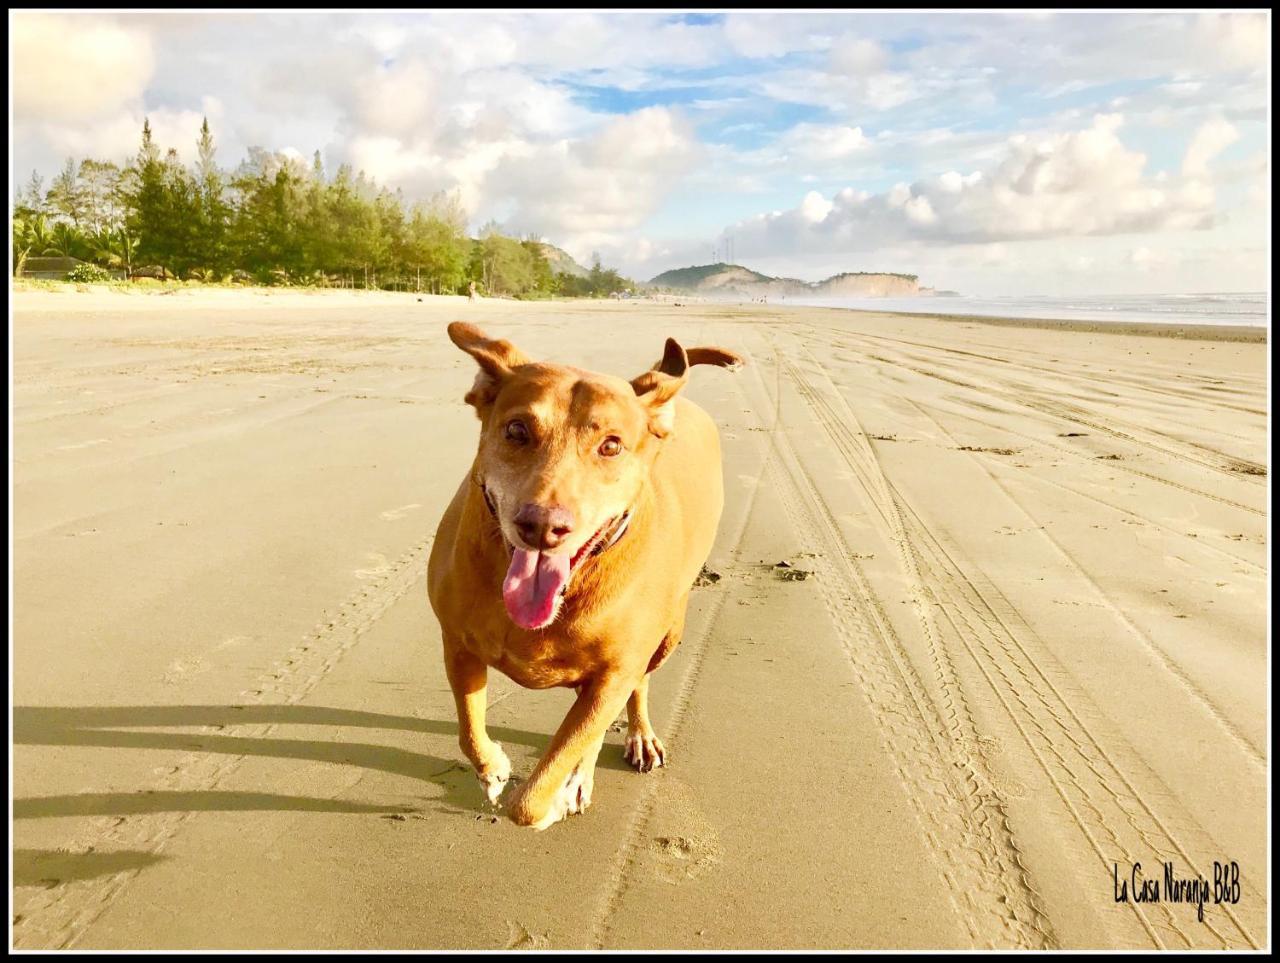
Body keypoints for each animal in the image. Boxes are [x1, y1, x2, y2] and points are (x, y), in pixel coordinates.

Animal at [430, 321, 747, 829]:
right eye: (516, 429)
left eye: (611, 445)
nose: (542, 526)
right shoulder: (457, 644)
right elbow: (468, 726)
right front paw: (492, 767)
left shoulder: (613, 675)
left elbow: (537, 792)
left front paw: (556, 795)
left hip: (667, 634)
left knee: (635, 691)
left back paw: (619, 751)